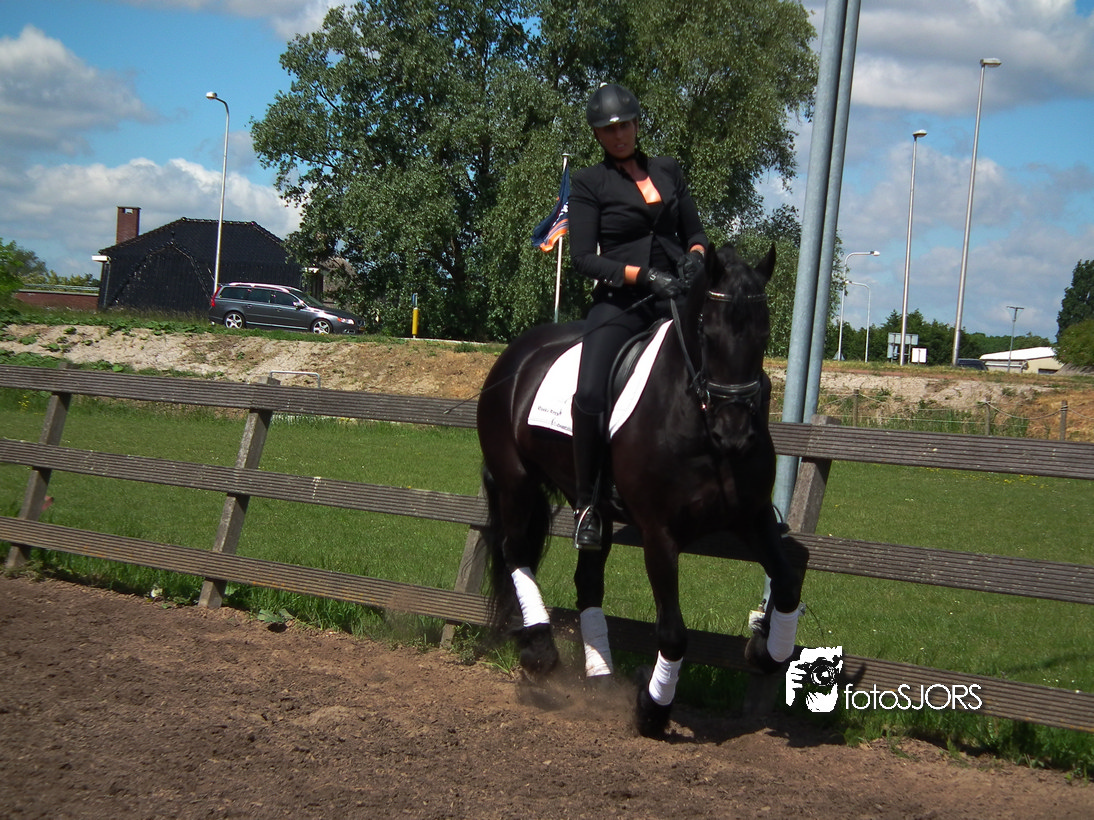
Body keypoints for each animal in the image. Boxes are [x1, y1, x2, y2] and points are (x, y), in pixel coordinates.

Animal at [475, 244, 808, 736]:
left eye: (764, 334)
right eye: (706, 331)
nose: (734, 434)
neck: (697, 421)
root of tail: (514, 356)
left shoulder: (753, 515)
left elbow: (785, 584)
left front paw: (764, 649)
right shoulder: (659, 533)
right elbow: (673, 631)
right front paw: (652, 708)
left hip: (586, 502)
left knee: (587, 581)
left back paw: (600, 677)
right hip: (516, 481)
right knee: (516, 552)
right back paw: (541, 652)